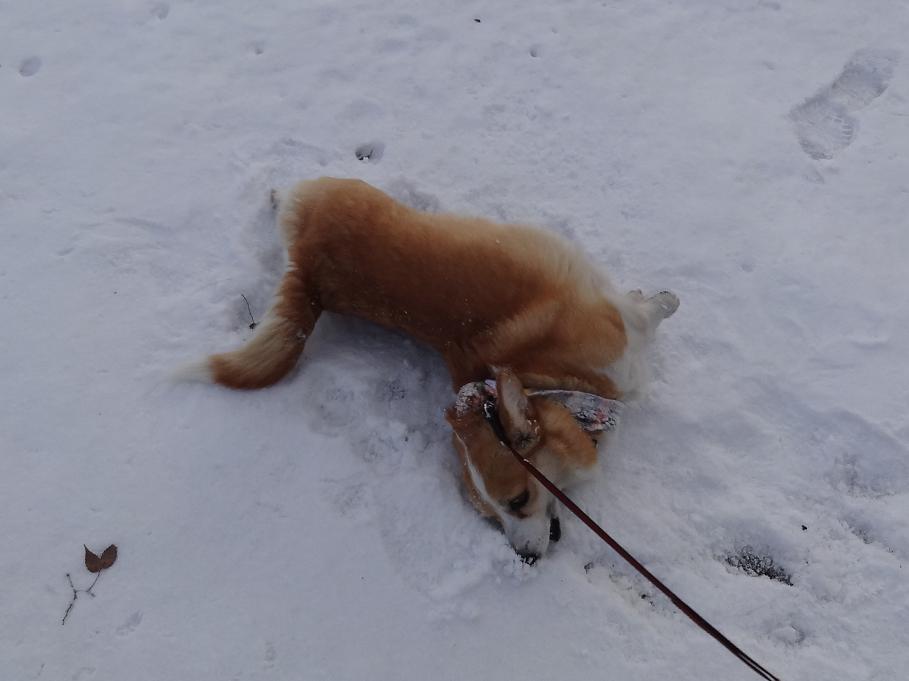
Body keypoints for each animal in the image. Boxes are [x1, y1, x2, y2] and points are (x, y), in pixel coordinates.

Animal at [188, 178, 676, 560]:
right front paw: (665, 299)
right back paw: (275, 192)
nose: (524, 559)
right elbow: (650, 311)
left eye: (519, 500)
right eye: (492, 514)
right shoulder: (620, 331)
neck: (558, 385)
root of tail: (311, 275)